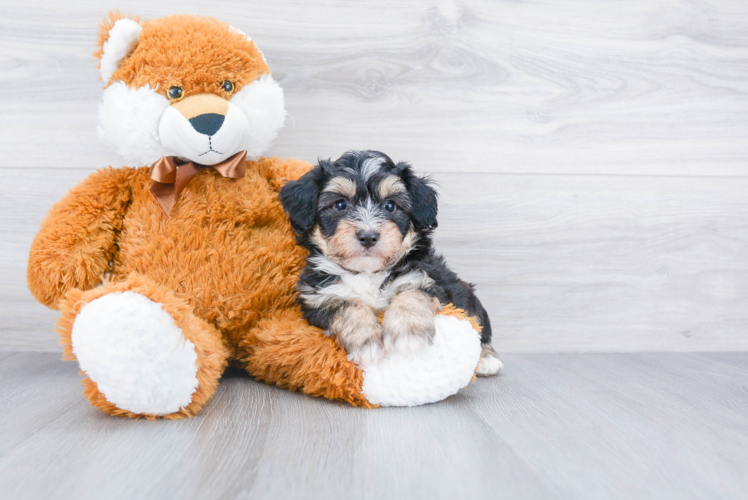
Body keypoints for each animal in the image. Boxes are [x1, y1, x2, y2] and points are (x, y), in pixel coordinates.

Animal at [280, 151, 502, 376]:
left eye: (390, 206)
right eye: (340, 205)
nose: (368, 236)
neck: (367, 272)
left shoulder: (425, 278)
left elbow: (410, 295)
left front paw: (408, 334)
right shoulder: (319, 297)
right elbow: (348, 306)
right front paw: (367, 344)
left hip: (466, 296)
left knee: (479, 328)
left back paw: (487, 358)